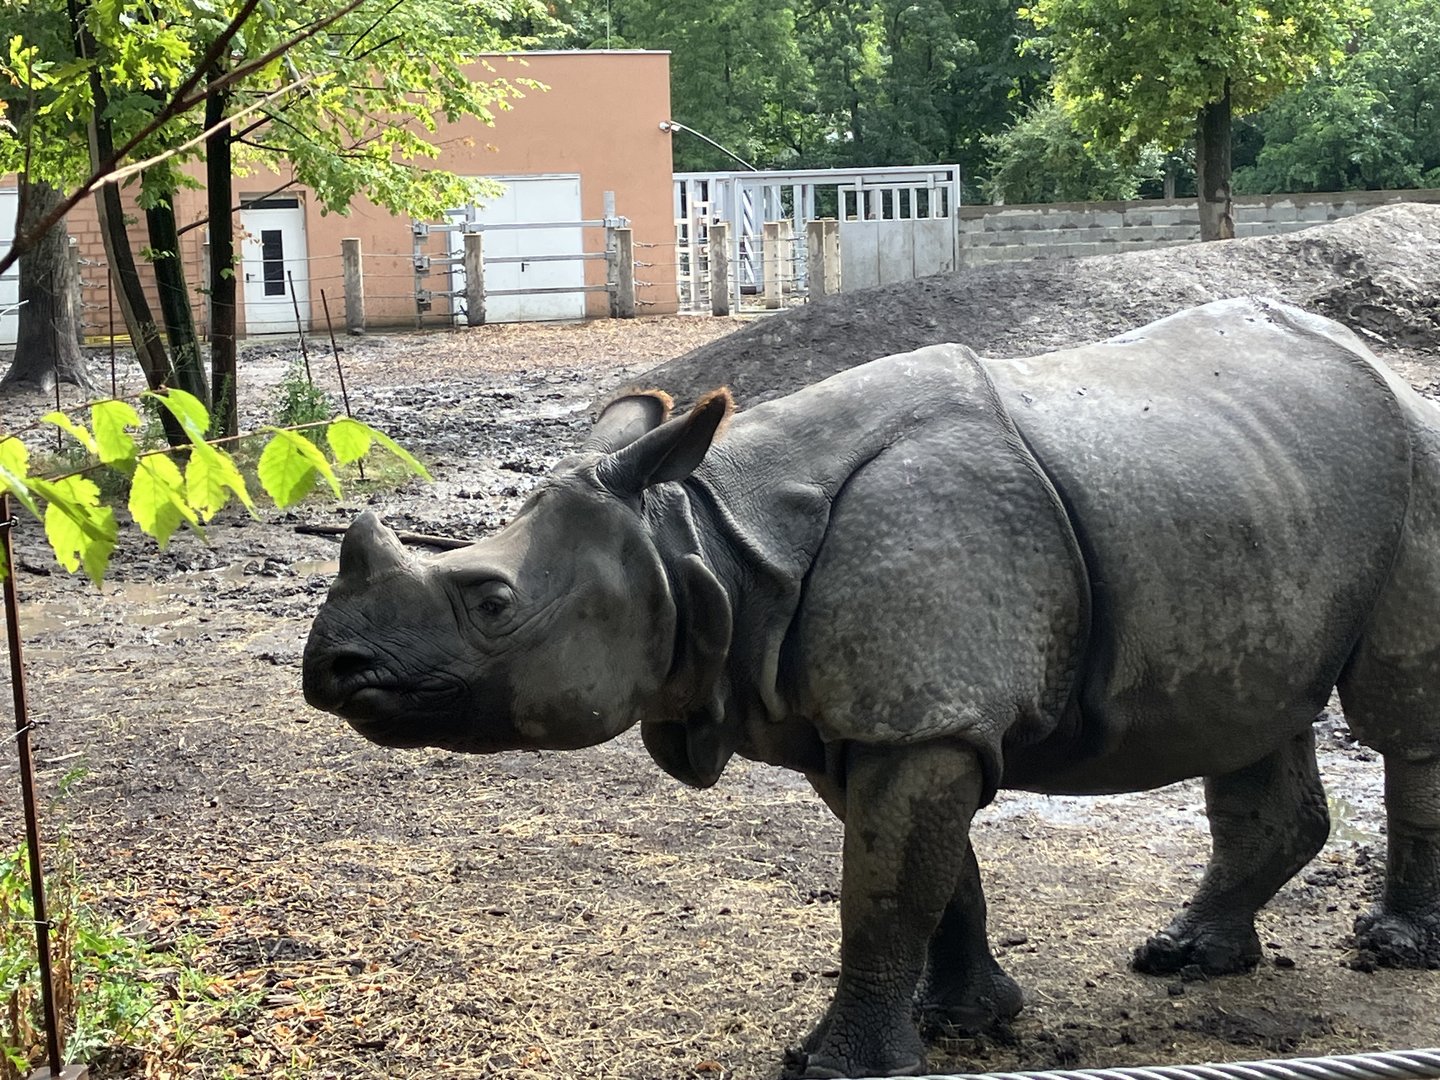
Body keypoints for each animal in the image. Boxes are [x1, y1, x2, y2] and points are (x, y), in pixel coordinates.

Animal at [303, 296, 1440, 1079]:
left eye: (491, 601)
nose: (330, 670)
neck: (705, 537)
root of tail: (1380, 365)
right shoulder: (877, 713)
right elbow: (931, 876)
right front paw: (963, 1020)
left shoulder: (918, 714)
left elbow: (884, 893)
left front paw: (836, 1067)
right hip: (1253, 491)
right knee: (1257, 715)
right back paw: (1186, 956)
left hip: (1419, 458)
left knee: (1398, 718)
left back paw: (1391, 950)